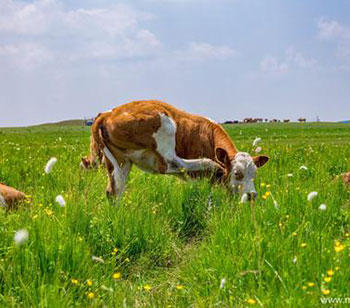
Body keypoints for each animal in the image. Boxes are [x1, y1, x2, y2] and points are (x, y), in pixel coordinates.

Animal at [83, 100, 270, 200]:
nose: (252, 195)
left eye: (254, 173)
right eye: (237, 173)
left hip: (120, 161)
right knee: (170, 165)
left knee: (114, 191)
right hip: (165, 129)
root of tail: (108, 113)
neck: (207, 136)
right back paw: (212, 165)